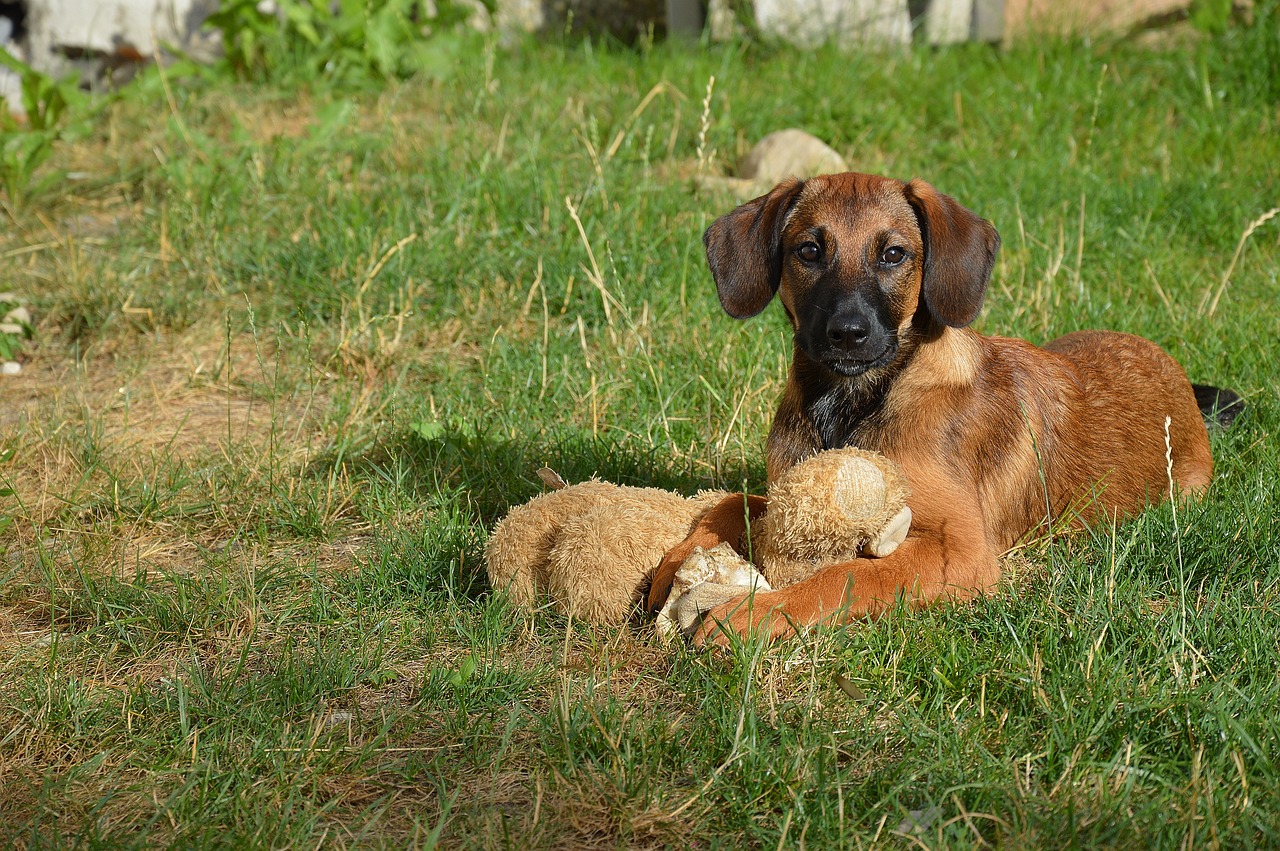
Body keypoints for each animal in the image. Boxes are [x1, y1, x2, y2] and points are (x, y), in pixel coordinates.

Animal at [650, 172, 1239, 639]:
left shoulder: (963, 551)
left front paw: (751, 614)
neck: (852, 405)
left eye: (893, 254)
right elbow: (731, 501)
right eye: (809, 251)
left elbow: (847, 573)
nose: (848, 334)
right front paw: (674, 565)